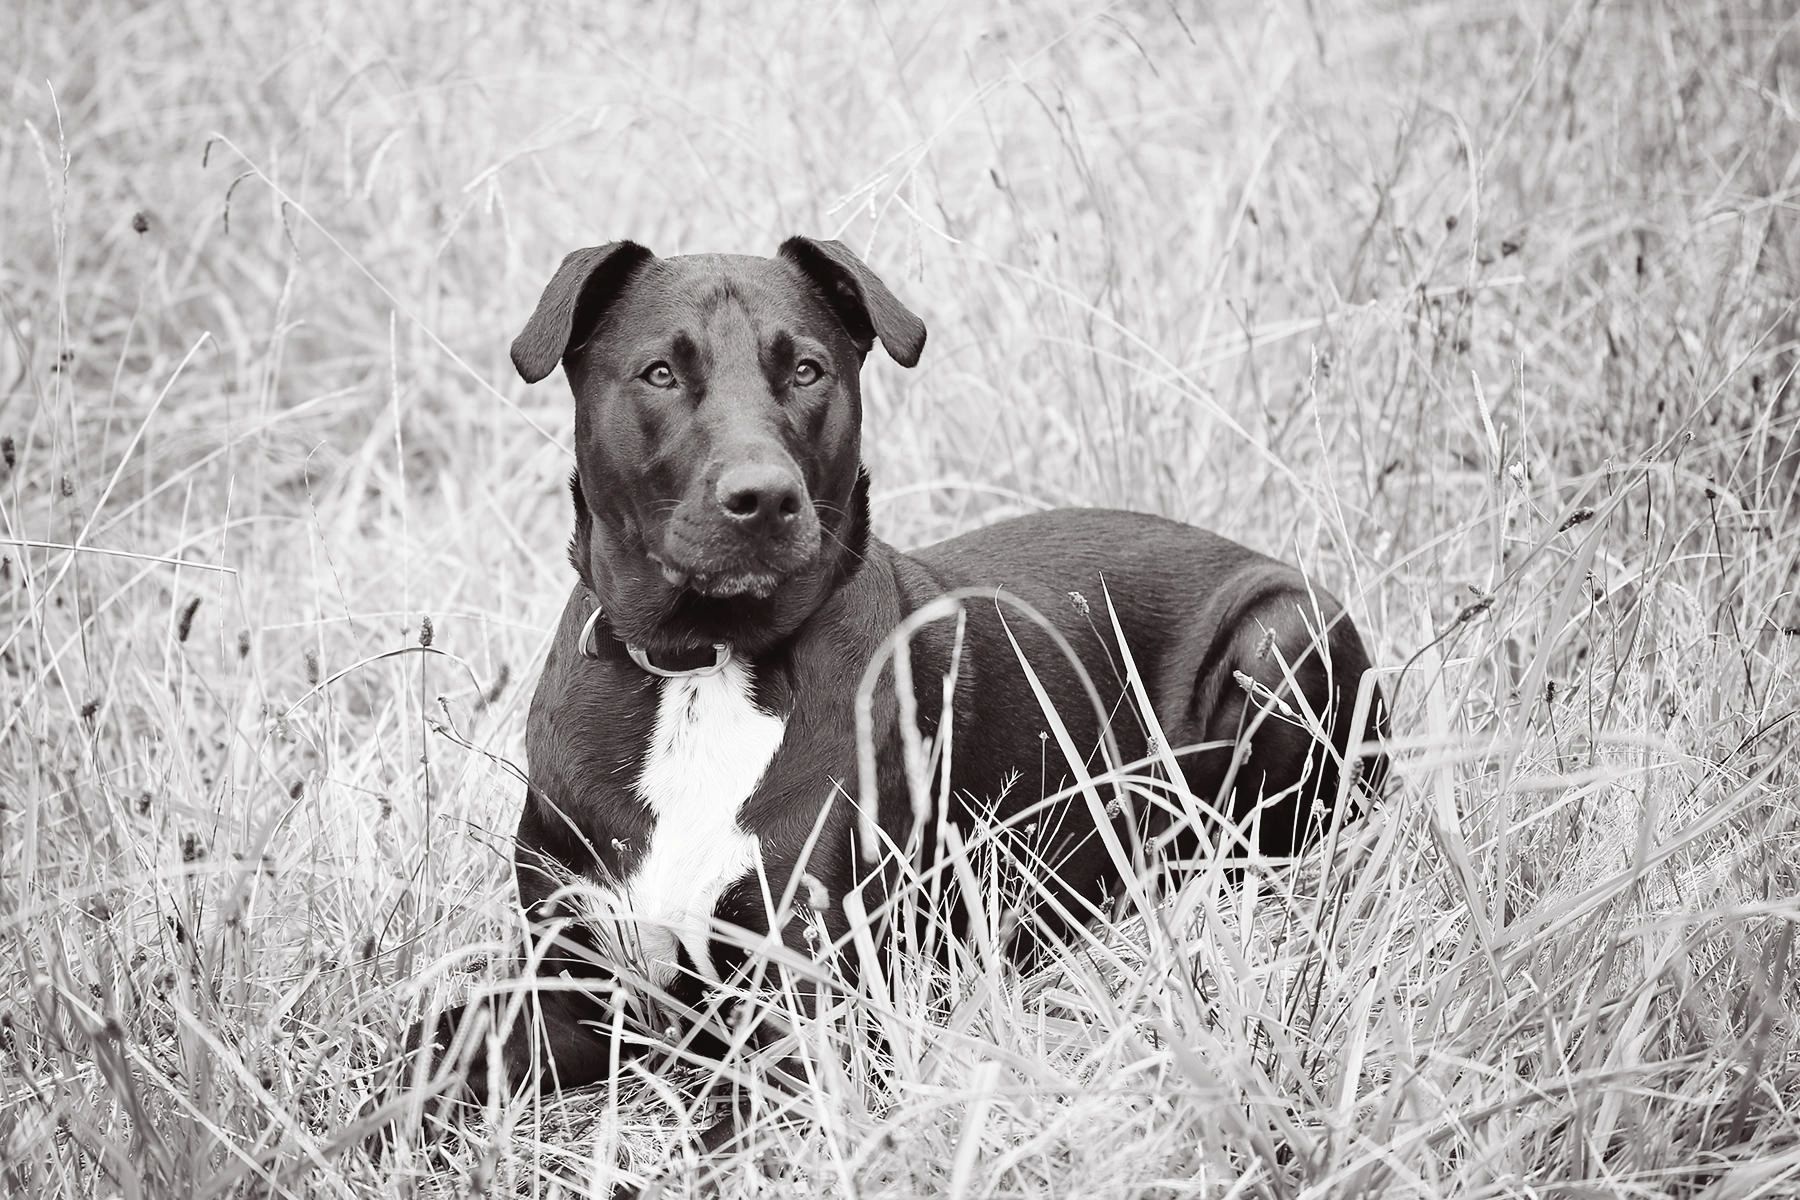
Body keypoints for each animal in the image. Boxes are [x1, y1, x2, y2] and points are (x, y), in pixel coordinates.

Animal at [387, 237, 1382, 1180]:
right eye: (660, 372)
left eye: (806, 370)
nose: (763, 499)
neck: (704, 669)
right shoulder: (573, 990)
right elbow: (425, 1048)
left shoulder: (804, 1014)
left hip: (1277, 641)